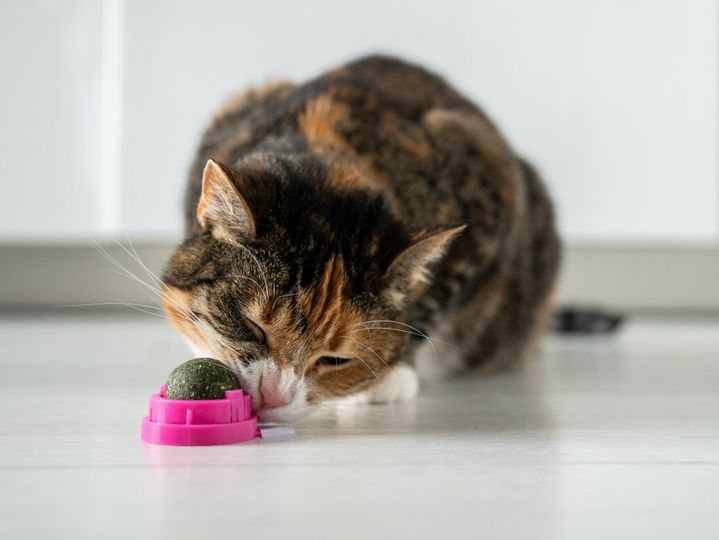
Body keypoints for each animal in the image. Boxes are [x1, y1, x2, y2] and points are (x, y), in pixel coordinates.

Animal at [162, 57, 564, 424]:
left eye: (335, 360)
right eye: (253, 328)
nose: (273, 397)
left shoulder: (489, 184)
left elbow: (430, 306)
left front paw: (389, 377)